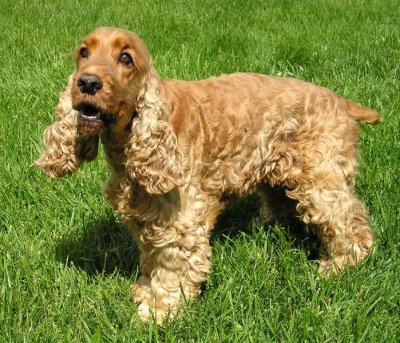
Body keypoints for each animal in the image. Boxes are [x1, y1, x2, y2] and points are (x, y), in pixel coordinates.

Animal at [36, 27, 382, 326]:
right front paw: (144, 290)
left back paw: (337, 266)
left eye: (126, 58)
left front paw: (158, 311)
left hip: (320, 178)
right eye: (83, 52)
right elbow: (151, 257)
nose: (87, 83)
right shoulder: (146, 215)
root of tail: (341, 102)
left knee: (350, 221)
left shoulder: (181, 219)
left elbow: (173, 267)